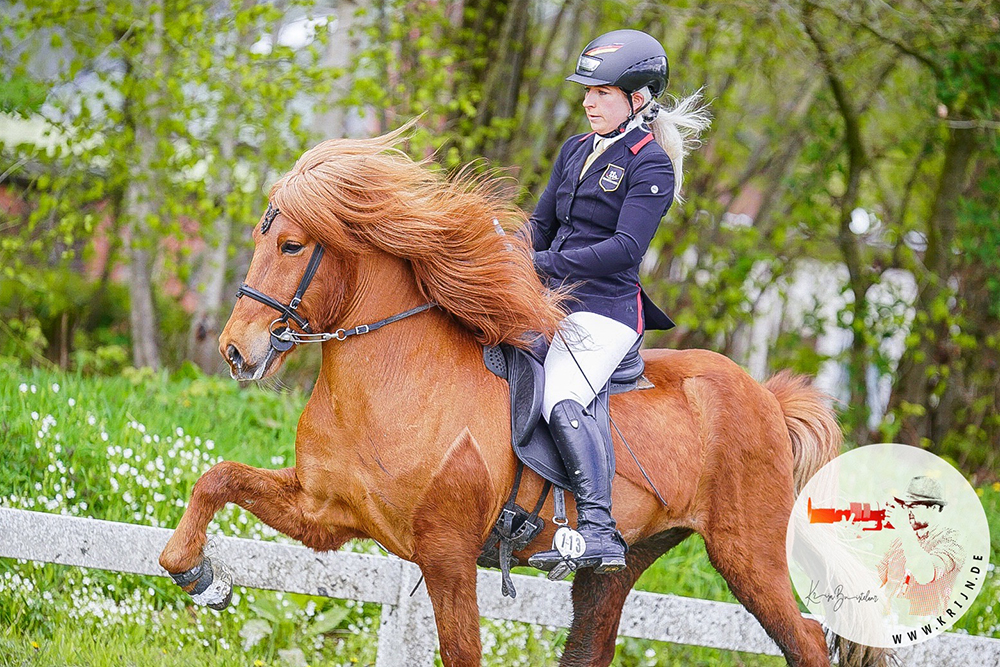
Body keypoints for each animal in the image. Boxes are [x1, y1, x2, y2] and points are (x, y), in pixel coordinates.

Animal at [160, 128, 896, 664]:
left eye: (290, 245)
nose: (236, 350)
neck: (390, 380)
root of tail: (766, 396)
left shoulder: (447, 555)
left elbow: (462, 652)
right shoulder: (325, 515)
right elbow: (216, 478)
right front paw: (201, 576)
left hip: (749, 553)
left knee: (807, 640)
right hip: (619, 564)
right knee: (594, 642)